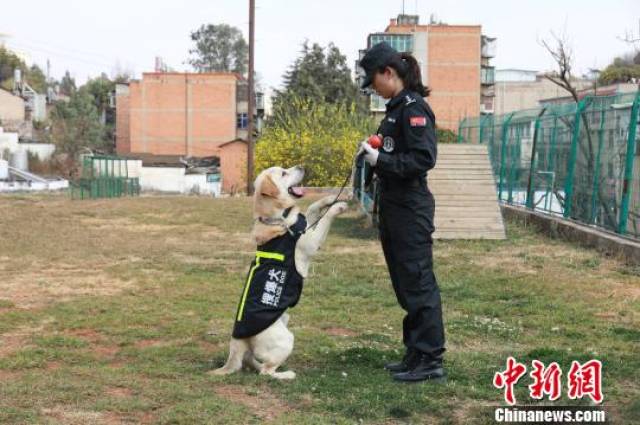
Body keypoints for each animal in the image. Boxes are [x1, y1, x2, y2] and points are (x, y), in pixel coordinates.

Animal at [211, 165, 348, 378]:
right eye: (283, 173)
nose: (302, 166)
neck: (278, 218)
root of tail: (237, 342)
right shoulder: (311, 242)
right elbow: (323, 220)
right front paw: (337, 207)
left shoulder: (304, 224)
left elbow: (312, 209)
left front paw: (329, 199)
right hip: (286, 339)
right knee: (265, 372)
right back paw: (286, 375)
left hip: (283, 320)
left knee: (250, 361)